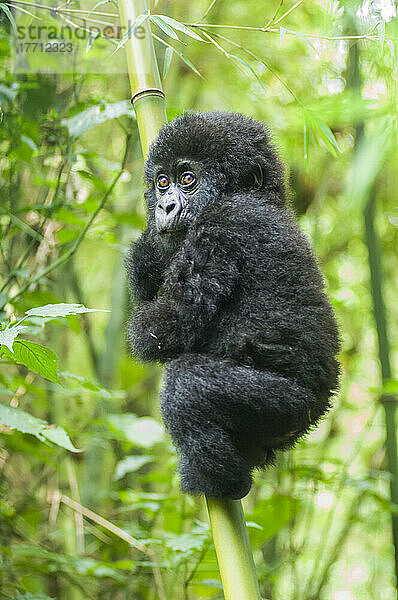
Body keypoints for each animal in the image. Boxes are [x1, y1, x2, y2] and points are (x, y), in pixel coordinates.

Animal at [127, 110, 338, 500]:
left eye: (188, 179)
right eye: (162, 182)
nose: (165, 205)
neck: (261, 197)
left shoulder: (222, 225)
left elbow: (163, 329)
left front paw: (145, 250)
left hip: (287, 407)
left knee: (186, 386)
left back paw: (222, 483)